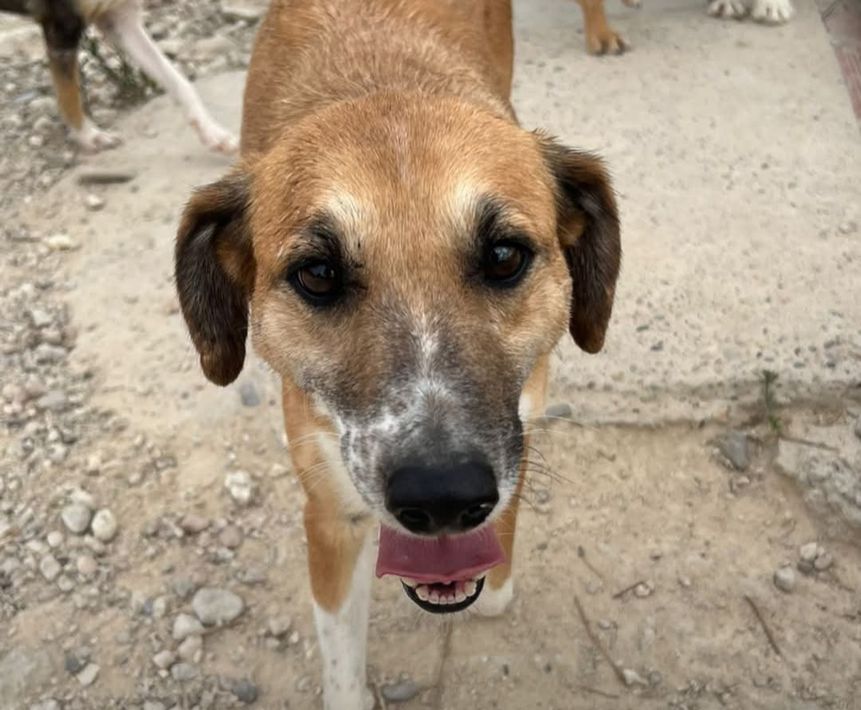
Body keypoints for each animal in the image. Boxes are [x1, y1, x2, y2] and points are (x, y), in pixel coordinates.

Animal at [0, 0, 236, 152]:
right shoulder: (62, 26)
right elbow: (69, 95)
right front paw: (88, 136)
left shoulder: (120, 17)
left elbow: (178, 81)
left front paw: (213, 132)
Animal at [174, 1, 621, 707]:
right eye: (318, 274)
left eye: (503, 255)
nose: (443, 498)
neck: (386, 83)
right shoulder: (329, 513)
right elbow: (341, 663)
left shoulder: (522, 429)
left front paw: (496, 584)